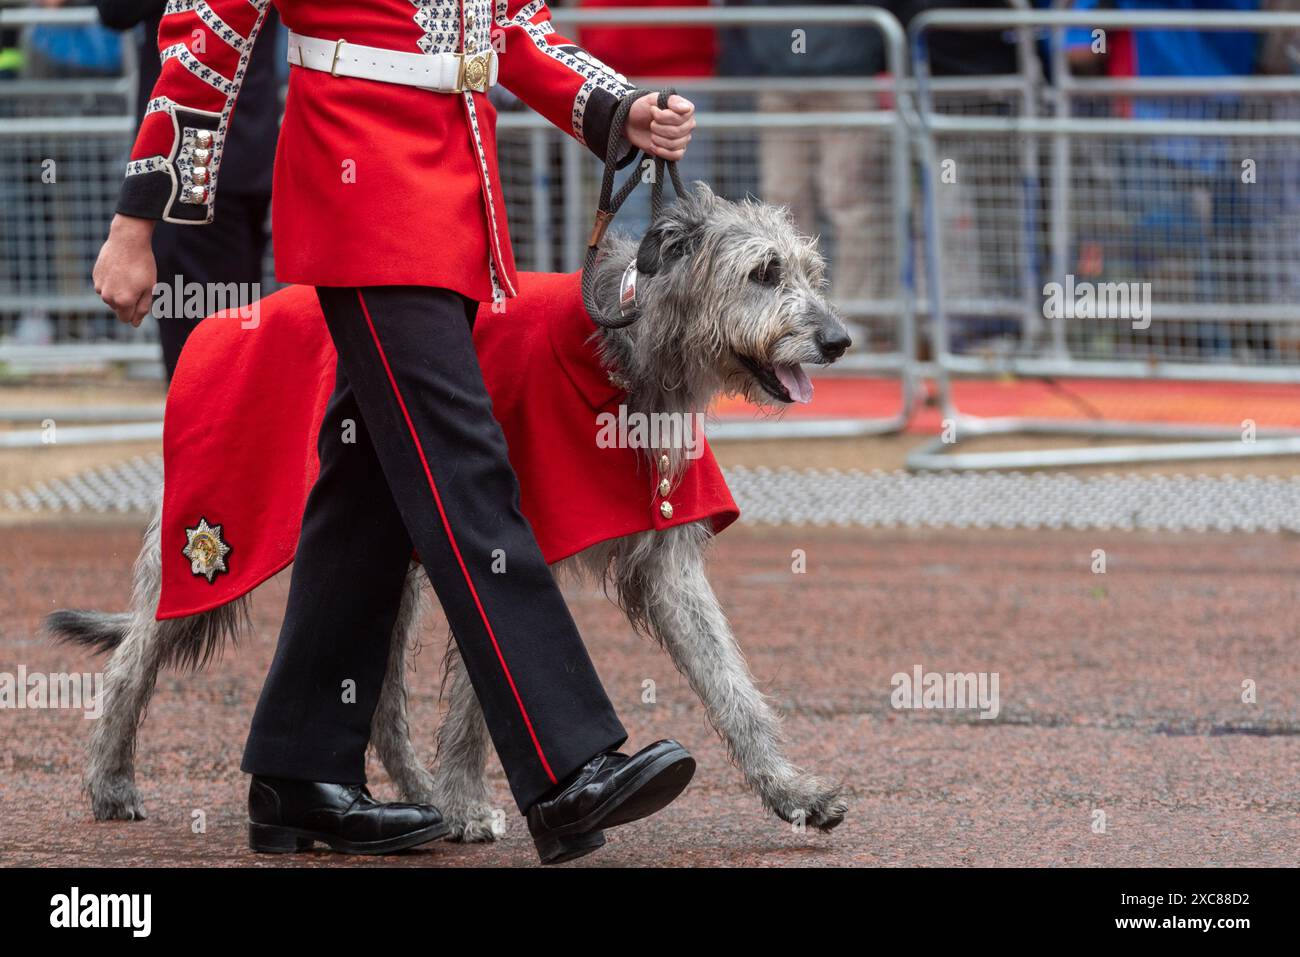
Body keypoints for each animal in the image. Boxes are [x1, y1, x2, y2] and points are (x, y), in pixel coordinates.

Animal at [45, 183, 852, 842]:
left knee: (377, 697)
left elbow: (730, 684)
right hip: (214, 534)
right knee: (133, 659)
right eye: (763, 272)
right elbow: (478, 687)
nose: (839, 340)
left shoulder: (667, 562)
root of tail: (221, 321)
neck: (625, 358)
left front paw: (793, 792)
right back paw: (112, 783)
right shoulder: (501, 531)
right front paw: (470, 805)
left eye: (811, 272)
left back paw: (412, 798)